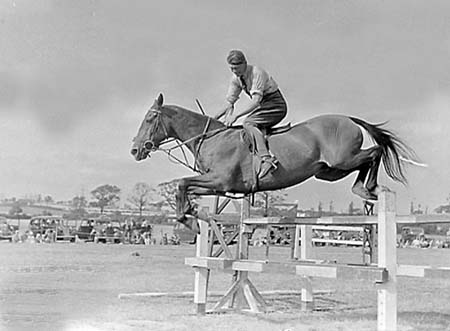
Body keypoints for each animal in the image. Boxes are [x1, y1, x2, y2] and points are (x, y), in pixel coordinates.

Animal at [131, 93, 418, 233]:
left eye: (149, 119)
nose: (135, 149)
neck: (213, 139)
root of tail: (348, 118)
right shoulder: (218, 185)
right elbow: (184, 186)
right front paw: (192, 213)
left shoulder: (220, 181)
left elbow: (181, 183)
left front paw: (188, 220)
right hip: (329, 171)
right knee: (366, 158)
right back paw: (364, 189)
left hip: (342, 159)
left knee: (374, 152)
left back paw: (368, 189)